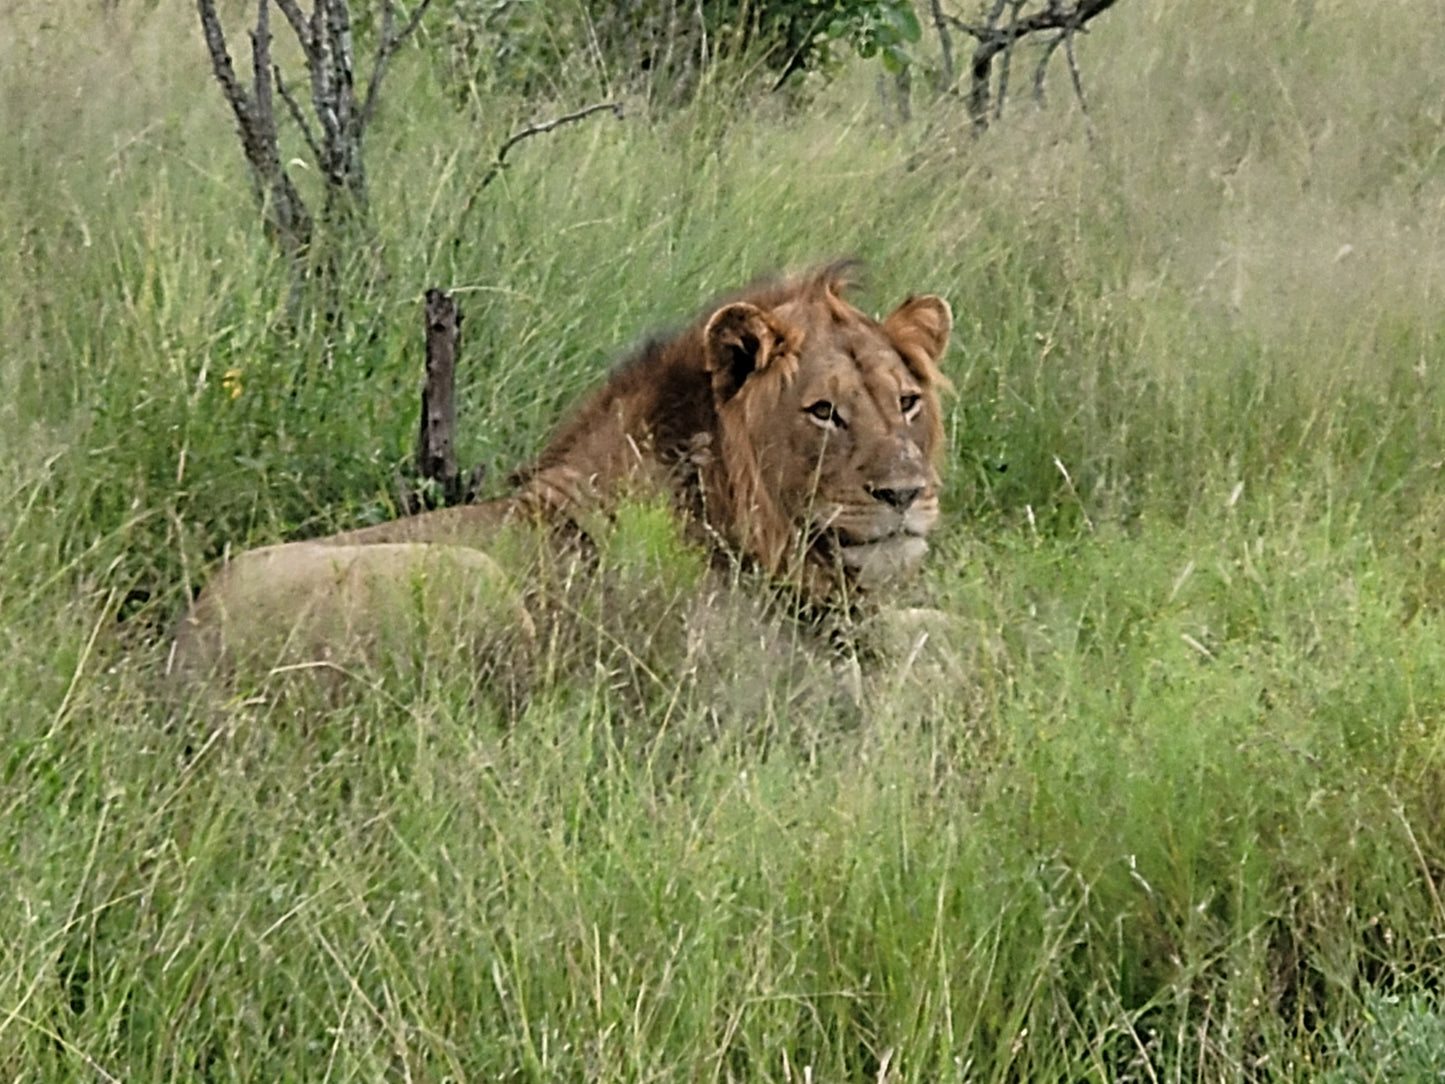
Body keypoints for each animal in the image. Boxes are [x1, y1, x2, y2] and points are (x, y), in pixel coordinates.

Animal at [171, 265, 947, 687]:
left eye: (907, 402)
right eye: (824, 412)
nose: (905, 494)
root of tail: (182, 657)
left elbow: (941, 628)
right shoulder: (754, 683)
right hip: (469, 579)